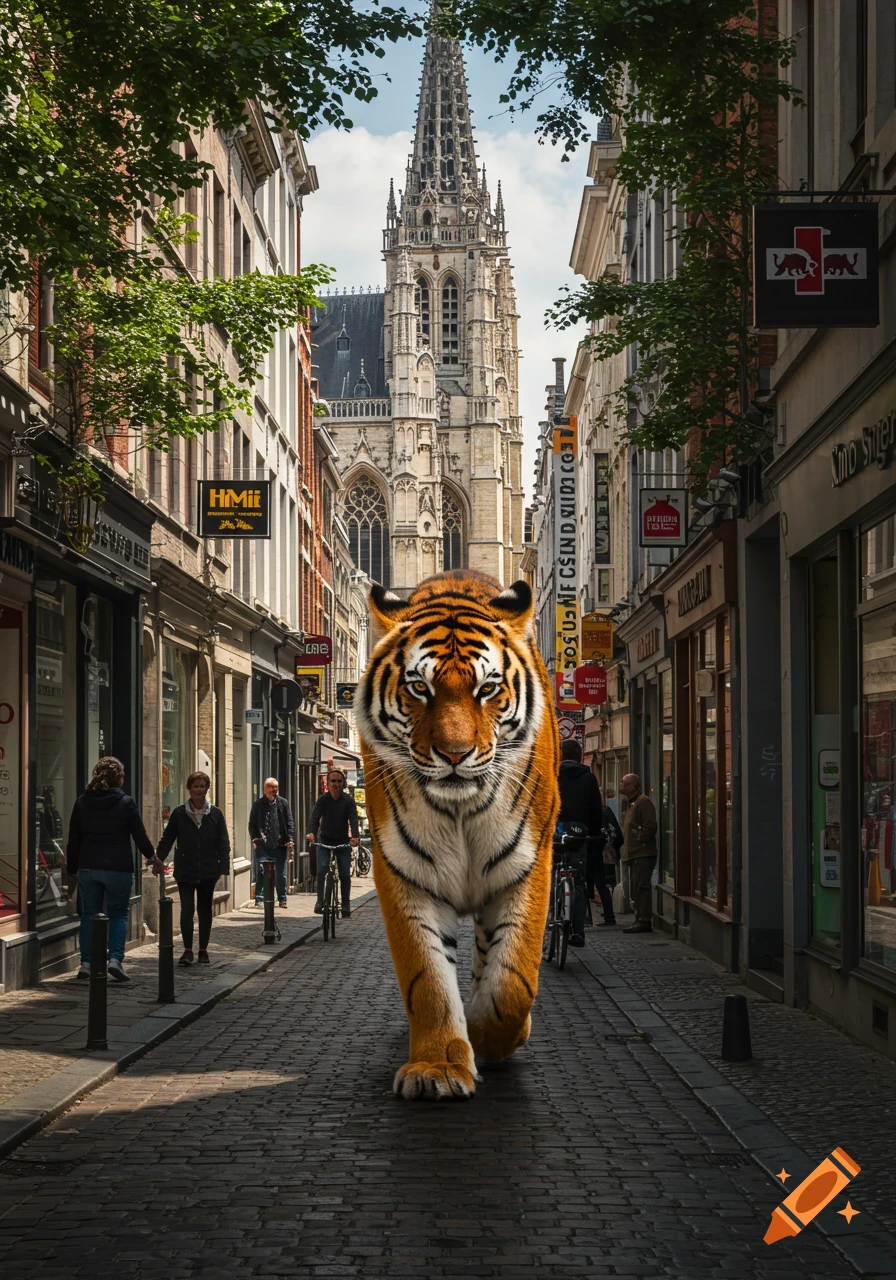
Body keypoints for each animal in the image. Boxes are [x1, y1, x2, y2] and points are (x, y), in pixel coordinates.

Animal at [356, 569, 560, 1100]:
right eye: (419, 688)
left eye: (487, 688)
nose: (453, 753)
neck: (461, 810)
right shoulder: (404, 873)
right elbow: (427, 979)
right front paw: (438, 1067)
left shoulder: (527, 867)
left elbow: (513, 981)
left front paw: (489, 1039)